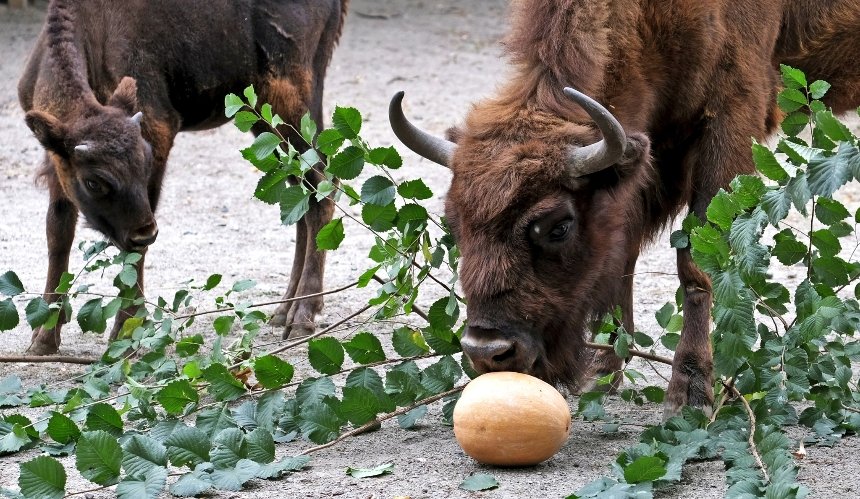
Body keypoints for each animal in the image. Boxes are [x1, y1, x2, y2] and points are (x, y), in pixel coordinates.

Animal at [392, 0, 860, 418]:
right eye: (453, 223)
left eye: (558, 227)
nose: (488, 350)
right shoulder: (653, 144)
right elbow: (623, 253)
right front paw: (602, 372)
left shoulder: (729, 117)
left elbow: (695, 260)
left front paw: (690, 393)